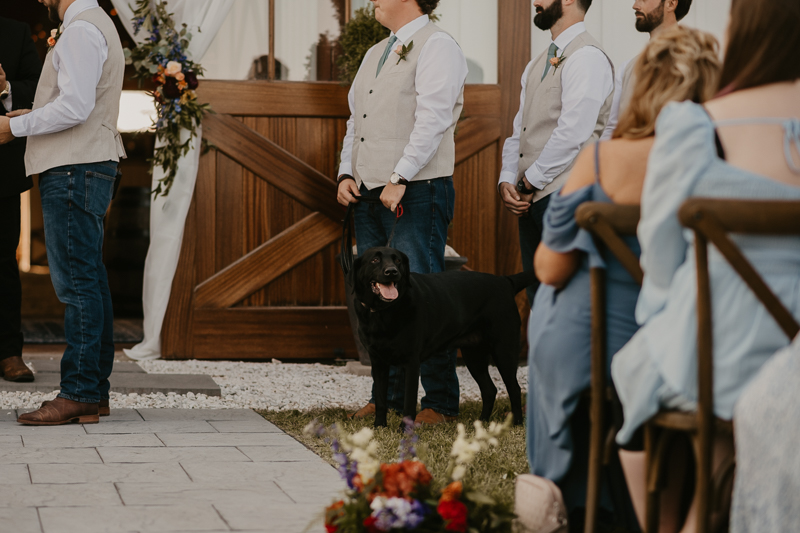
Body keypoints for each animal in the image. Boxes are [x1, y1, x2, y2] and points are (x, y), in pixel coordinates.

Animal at [352, 246, 536, 428]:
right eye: (374, 260)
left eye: (397, 260)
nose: (392, 271)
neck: (384, 311)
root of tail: (505, 280)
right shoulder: (378, 362)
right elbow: (380, 400)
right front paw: (379, 427)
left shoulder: (411, 363)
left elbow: (409, 403)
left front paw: (404, 431)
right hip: (473, 356)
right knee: (490, 390)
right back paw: (482, 422)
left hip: (504, 350)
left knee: (514, 388)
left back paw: (516, 423)